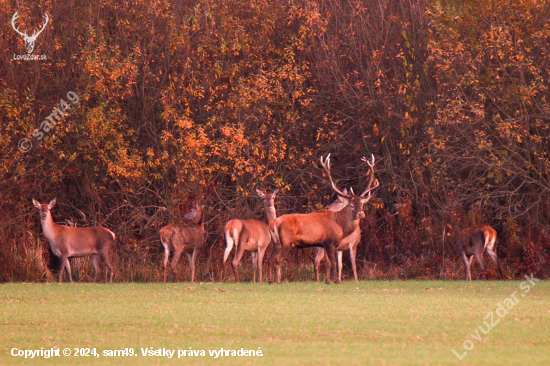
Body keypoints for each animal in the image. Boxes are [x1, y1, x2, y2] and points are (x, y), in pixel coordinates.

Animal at [268, 153, 380, 284]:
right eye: (352, 205)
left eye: (362, 204)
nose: (361, 214)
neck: (340, 224)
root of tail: (273, 223)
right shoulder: (330, 241)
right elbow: (334, 263)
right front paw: (337, 281)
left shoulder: (324, 243)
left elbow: (328, 263)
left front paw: (328, 281)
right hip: (286, 241)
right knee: (278, 259)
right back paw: (278, 281)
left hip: (276, 242)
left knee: (270, 259)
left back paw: (270, 281)